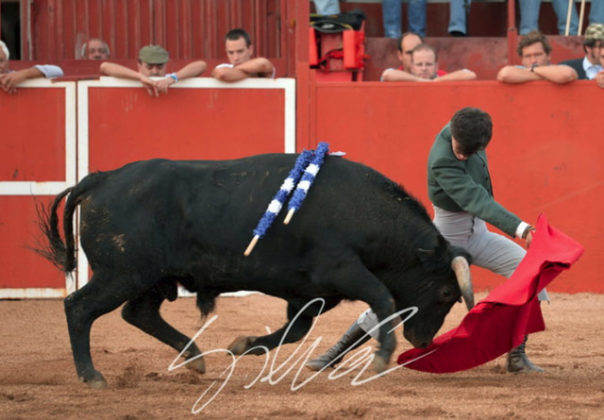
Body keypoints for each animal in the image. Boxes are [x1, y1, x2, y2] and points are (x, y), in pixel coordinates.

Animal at [37, 153, 474, 388]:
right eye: (446, 294)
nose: (422, 340)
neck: (366, 211)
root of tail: (102, 179)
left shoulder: (315, 293)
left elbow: (295, 330)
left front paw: (243, 345)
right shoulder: (343, 270)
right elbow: (383, 298)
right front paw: (383, 357)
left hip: (150, 278)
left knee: (138, 313)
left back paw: (195, 358)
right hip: (122, 273)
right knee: (79, 308)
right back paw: (91, 375)